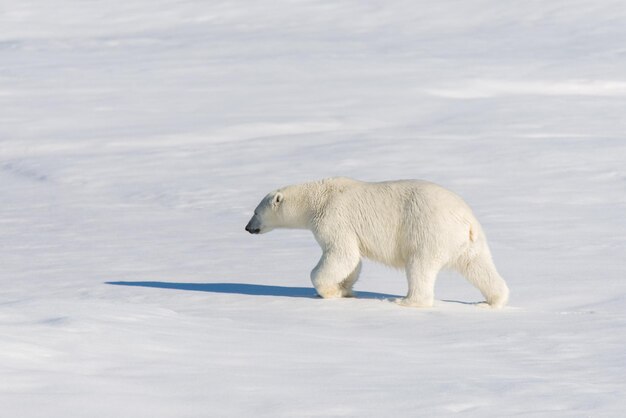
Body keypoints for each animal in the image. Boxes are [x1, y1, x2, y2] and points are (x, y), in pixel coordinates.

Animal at [244, 176, 508, 306]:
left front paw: (328, 291)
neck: (317, 198)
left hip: (427, 230)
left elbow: (341, 254)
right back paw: (490, 301)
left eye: (255, 211)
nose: (247, 227)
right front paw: (345, 289)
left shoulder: (334, 217)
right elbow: (353, 261)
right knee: (479, 267)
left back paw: (405, 301)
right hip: (469, 243)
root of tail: (467, 221)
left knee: (420, 266)